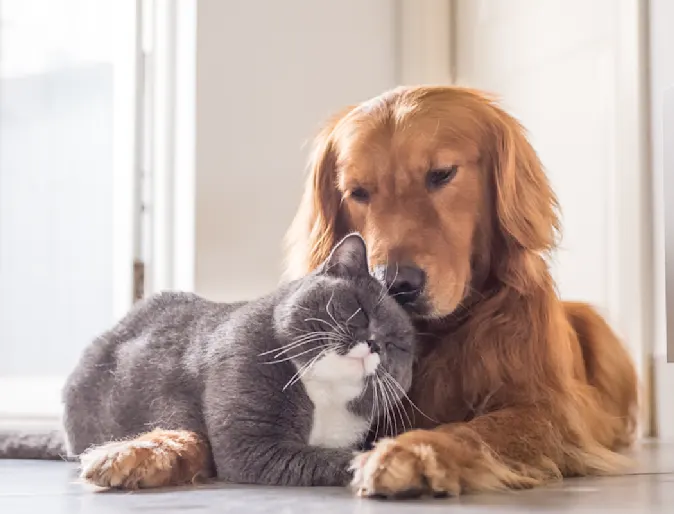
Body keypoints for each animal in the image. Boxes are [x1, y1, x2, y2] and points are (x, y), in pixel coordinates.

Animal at [0, 234, 414, 486]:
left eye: (397, 345)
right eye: (359, 310)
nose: (374, 344)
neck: (324, 396)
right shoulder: (251, 444)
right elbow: (330, 458)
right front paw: (377, 464)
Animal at [284, 86, 636, 494]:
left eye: (442, 174)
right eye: (357, 192)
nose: (395, 283)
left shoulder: (549, 410)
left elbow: (476, 429)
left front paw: (412, 451)